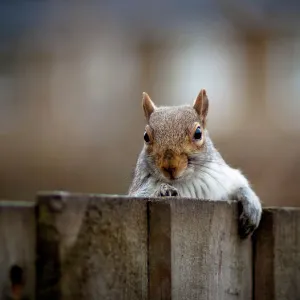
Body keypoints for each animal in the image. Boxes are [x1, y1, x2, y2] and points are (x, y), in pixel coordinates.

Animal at [127, 88, 262, 238]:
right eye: (146, 136)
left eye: (198, 133)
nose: (170, 167)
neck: (185, 181)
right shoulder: (139, 191)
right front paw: (163, 190)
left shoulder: (222, 179)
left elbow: (238, 186)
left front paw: (252, 204)